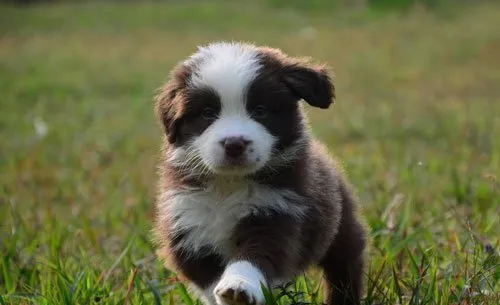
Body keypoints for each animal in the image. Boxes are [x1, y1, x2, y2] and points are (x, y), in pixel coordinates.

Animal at [152, 41, 368, 304]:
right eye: (207, 113)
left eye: (260, 110)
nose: (234, 143)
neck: (228, 184)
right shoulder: (188, 225)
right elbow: (208, 279)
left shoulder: (275, 213)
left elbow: (254, 256)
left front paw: (238, 287)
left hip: (341, 227)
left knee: (345, 266)